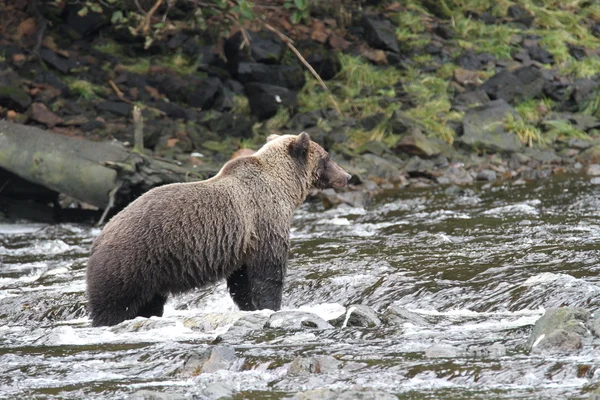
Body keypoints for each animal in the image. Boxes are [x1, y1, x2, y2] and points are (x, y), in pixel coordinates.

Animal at [84, 133, 352, 326]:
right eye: (327, 157)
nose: (347, 176)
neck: (284, 188)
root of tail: (100, 237)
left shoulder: (244, 240)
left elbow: (241, 281)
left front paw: (251, 306)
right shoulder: (265, 221)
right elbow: (268, 273)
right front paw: (272, 306)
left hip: (151, 273)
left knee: (149, 303)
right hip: (131, 261)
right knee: (114, 304)